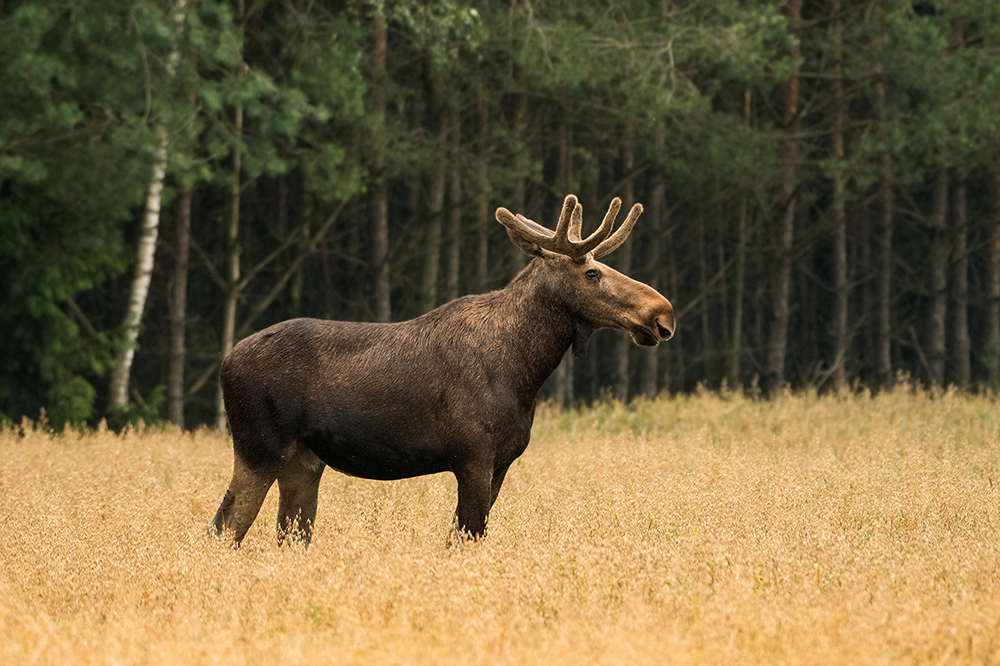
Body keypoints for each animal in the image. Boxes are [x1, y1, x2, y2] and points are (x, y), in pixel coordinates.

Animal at [209, 193, 672, 544]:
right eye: (592, 272)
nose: (662, 314)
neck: (526, 372)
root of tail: (225, 362)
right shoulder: (472, 456)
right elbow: (465, 537)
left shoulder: (501, 462)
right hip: (259, 447)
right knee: (224, 527)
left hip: (304, 460)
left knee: (285, 534)